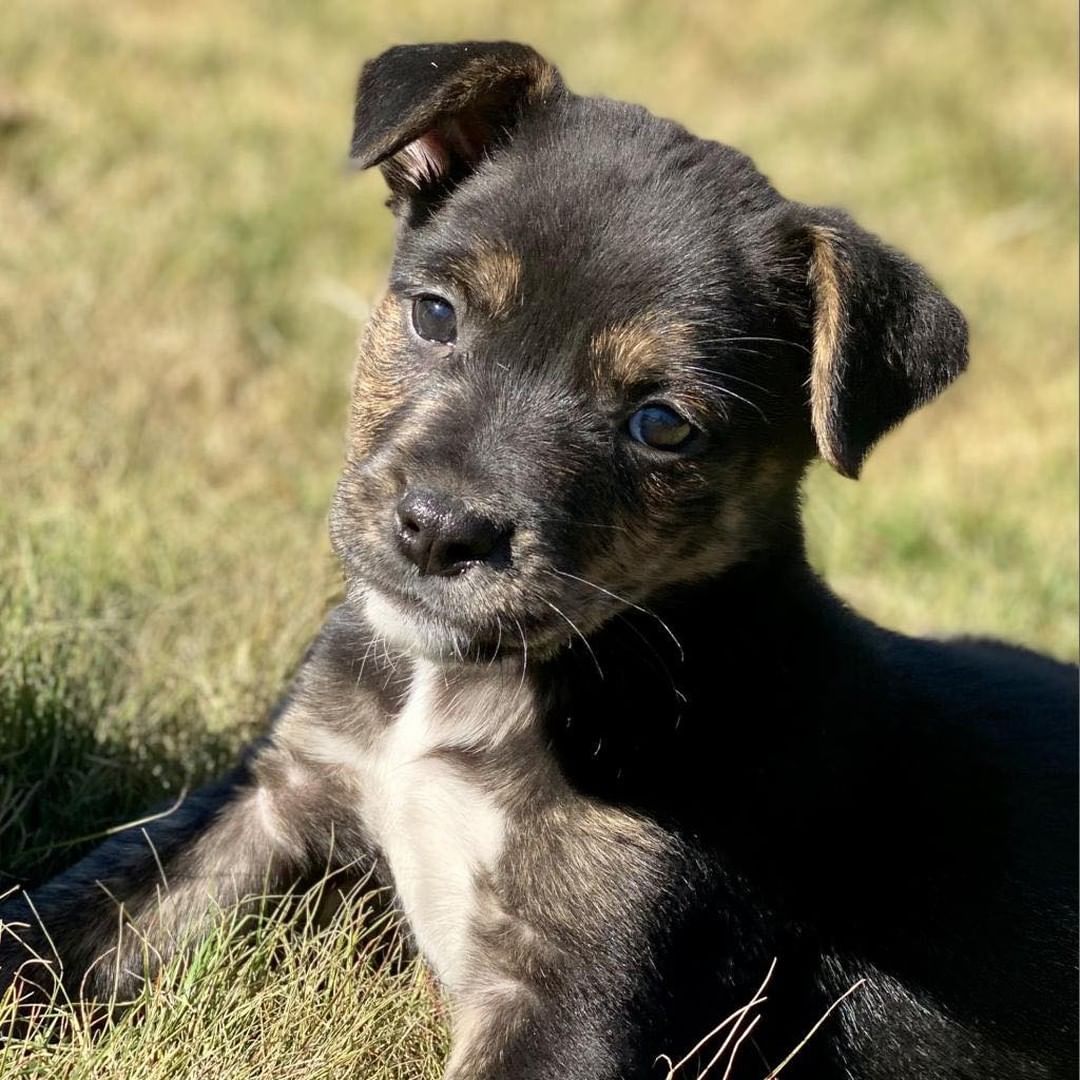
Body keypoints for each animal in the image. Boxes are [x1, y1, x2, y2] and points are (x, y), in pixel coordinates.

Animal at [2, 39, 1080, 1080]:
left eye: (662, 425)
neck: (478, 687)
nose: (439, 530)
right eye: (436, 314)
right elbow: (55, 922)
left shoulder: (579, 994)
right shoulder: (271, 794)